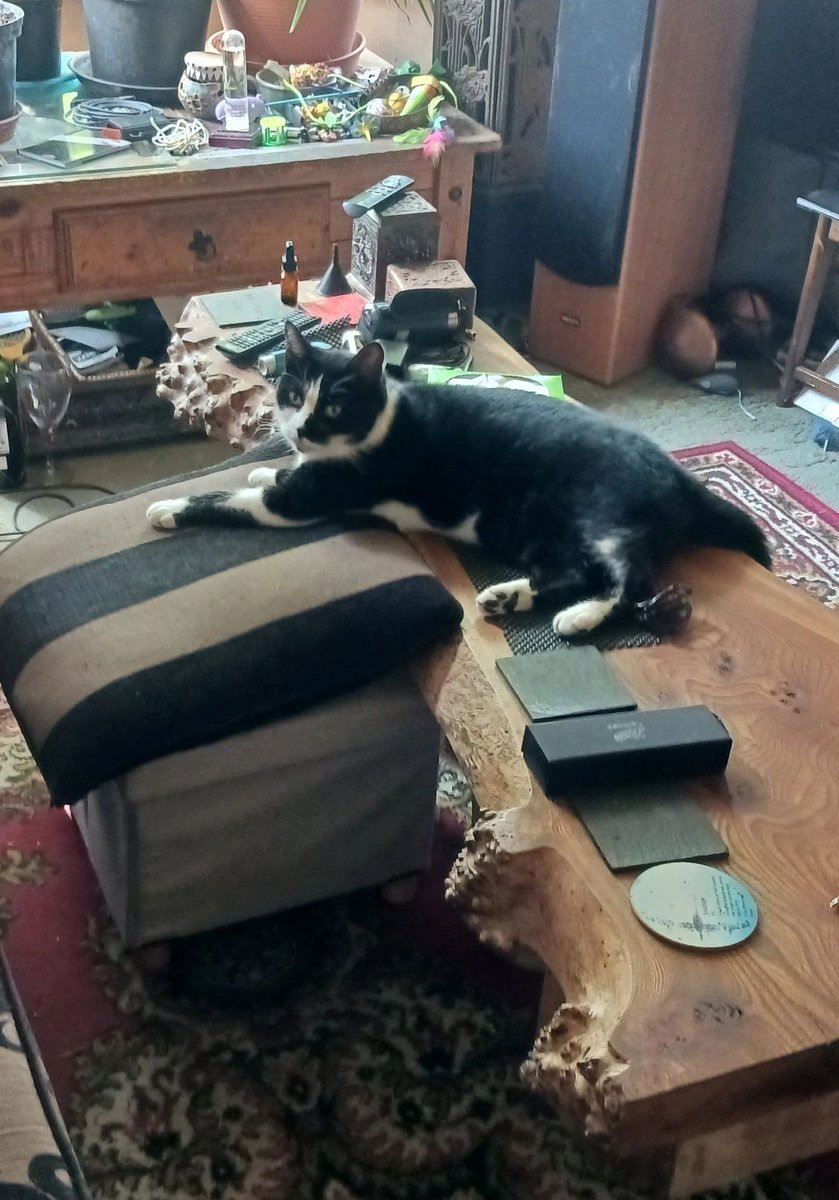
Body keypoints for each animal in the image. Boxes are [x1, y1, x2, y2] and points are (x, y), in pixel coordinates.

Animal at [147, 319, 772, 638]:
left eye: (336, 408)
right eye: (294, 395)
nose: (300, 430)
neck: (380, 420)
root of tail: (677, 472)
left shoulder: (309, 499)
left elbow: (232, 498)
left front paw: (169, 509)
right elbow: (269, 476)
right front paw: (266, 463)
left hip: (604, 515)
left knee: (628, 577)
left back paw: (578, 617)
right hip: (535, 526)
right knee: (571, 570)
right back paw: (507, 596)